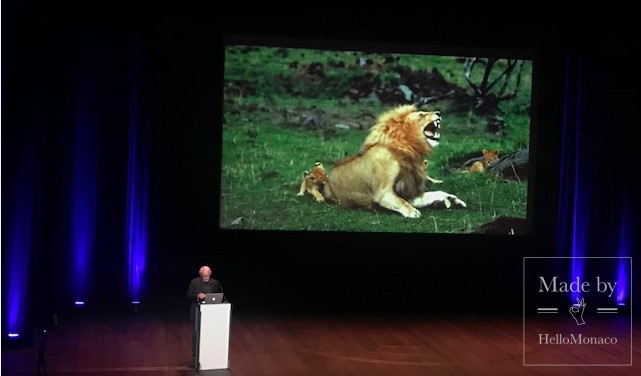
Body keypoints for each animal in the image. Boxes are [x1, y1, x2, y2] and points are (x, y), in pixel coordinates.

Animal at [322, 105, 462, 217]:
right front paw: (413, 212)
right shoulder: (383, 193)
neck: (409, 149)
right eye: (421, 114)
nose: (438, 112)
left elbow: (434, 193)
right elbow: (401, 201)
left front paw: (453, 199)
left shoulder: (408, 192)